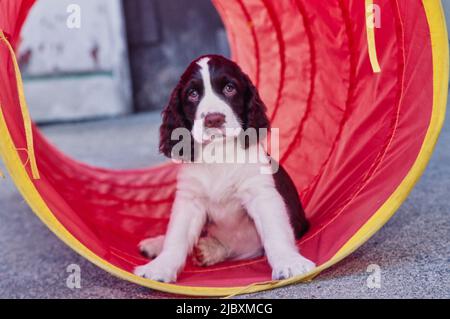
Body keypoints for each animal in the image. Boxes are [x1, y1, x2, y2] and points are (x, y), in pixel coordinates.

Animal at [135, 55, 314, 284]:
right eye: (192, 94)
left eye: (230, 88)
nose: (214, 119)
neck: (218, 151)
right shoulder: (190, 199)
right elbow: (177, 236)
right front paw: (160, 268)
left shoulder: (261, 193)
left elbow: (275, 232)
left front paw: (290, 263)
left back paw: (209, 250)